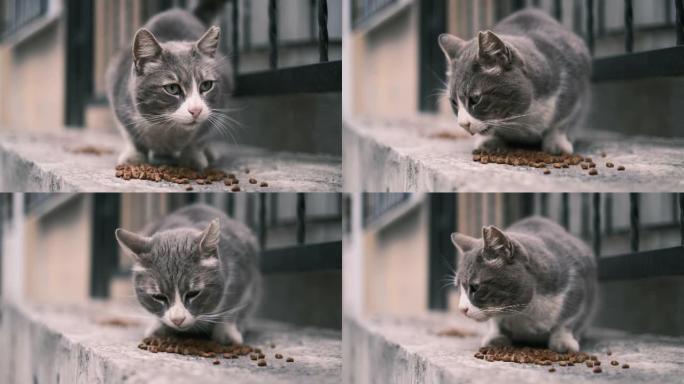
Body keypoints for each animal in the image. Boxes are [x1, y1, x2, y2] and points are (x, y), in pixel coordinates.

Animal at [107, 1, 234, 170]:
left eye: (206, 85)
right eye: (172, 88)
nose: (196, 110)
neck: (168, 127)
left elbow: (199, 138)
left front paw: (192, 157)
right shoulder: (119, 100)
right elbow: (131, 137)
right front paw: (134, 157)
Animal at [115, 202, 260, 344]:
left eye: (194, 293)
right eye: (158, 296)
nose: (177, 319)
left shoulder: (244, 274)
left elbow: (236, 304)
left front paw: (226, 331)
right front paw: (157, 327)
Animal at [438, 9, 592, 153]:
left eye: (475, 99)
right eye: (454, 102)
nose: (463, 124)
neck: (522, 119)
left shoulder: (575, 84)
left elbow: (564, 120)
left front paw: (557, 143)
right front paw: (488, 142)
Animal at [452, 214, 596, 352]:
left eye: (475, 287)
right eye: (459, 287)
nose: (461, 309)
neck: (526, 311)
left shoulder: (577, 286)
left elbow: (568, 320)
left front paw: (563, 341)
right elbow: (495, 322)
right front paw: (495, 338)